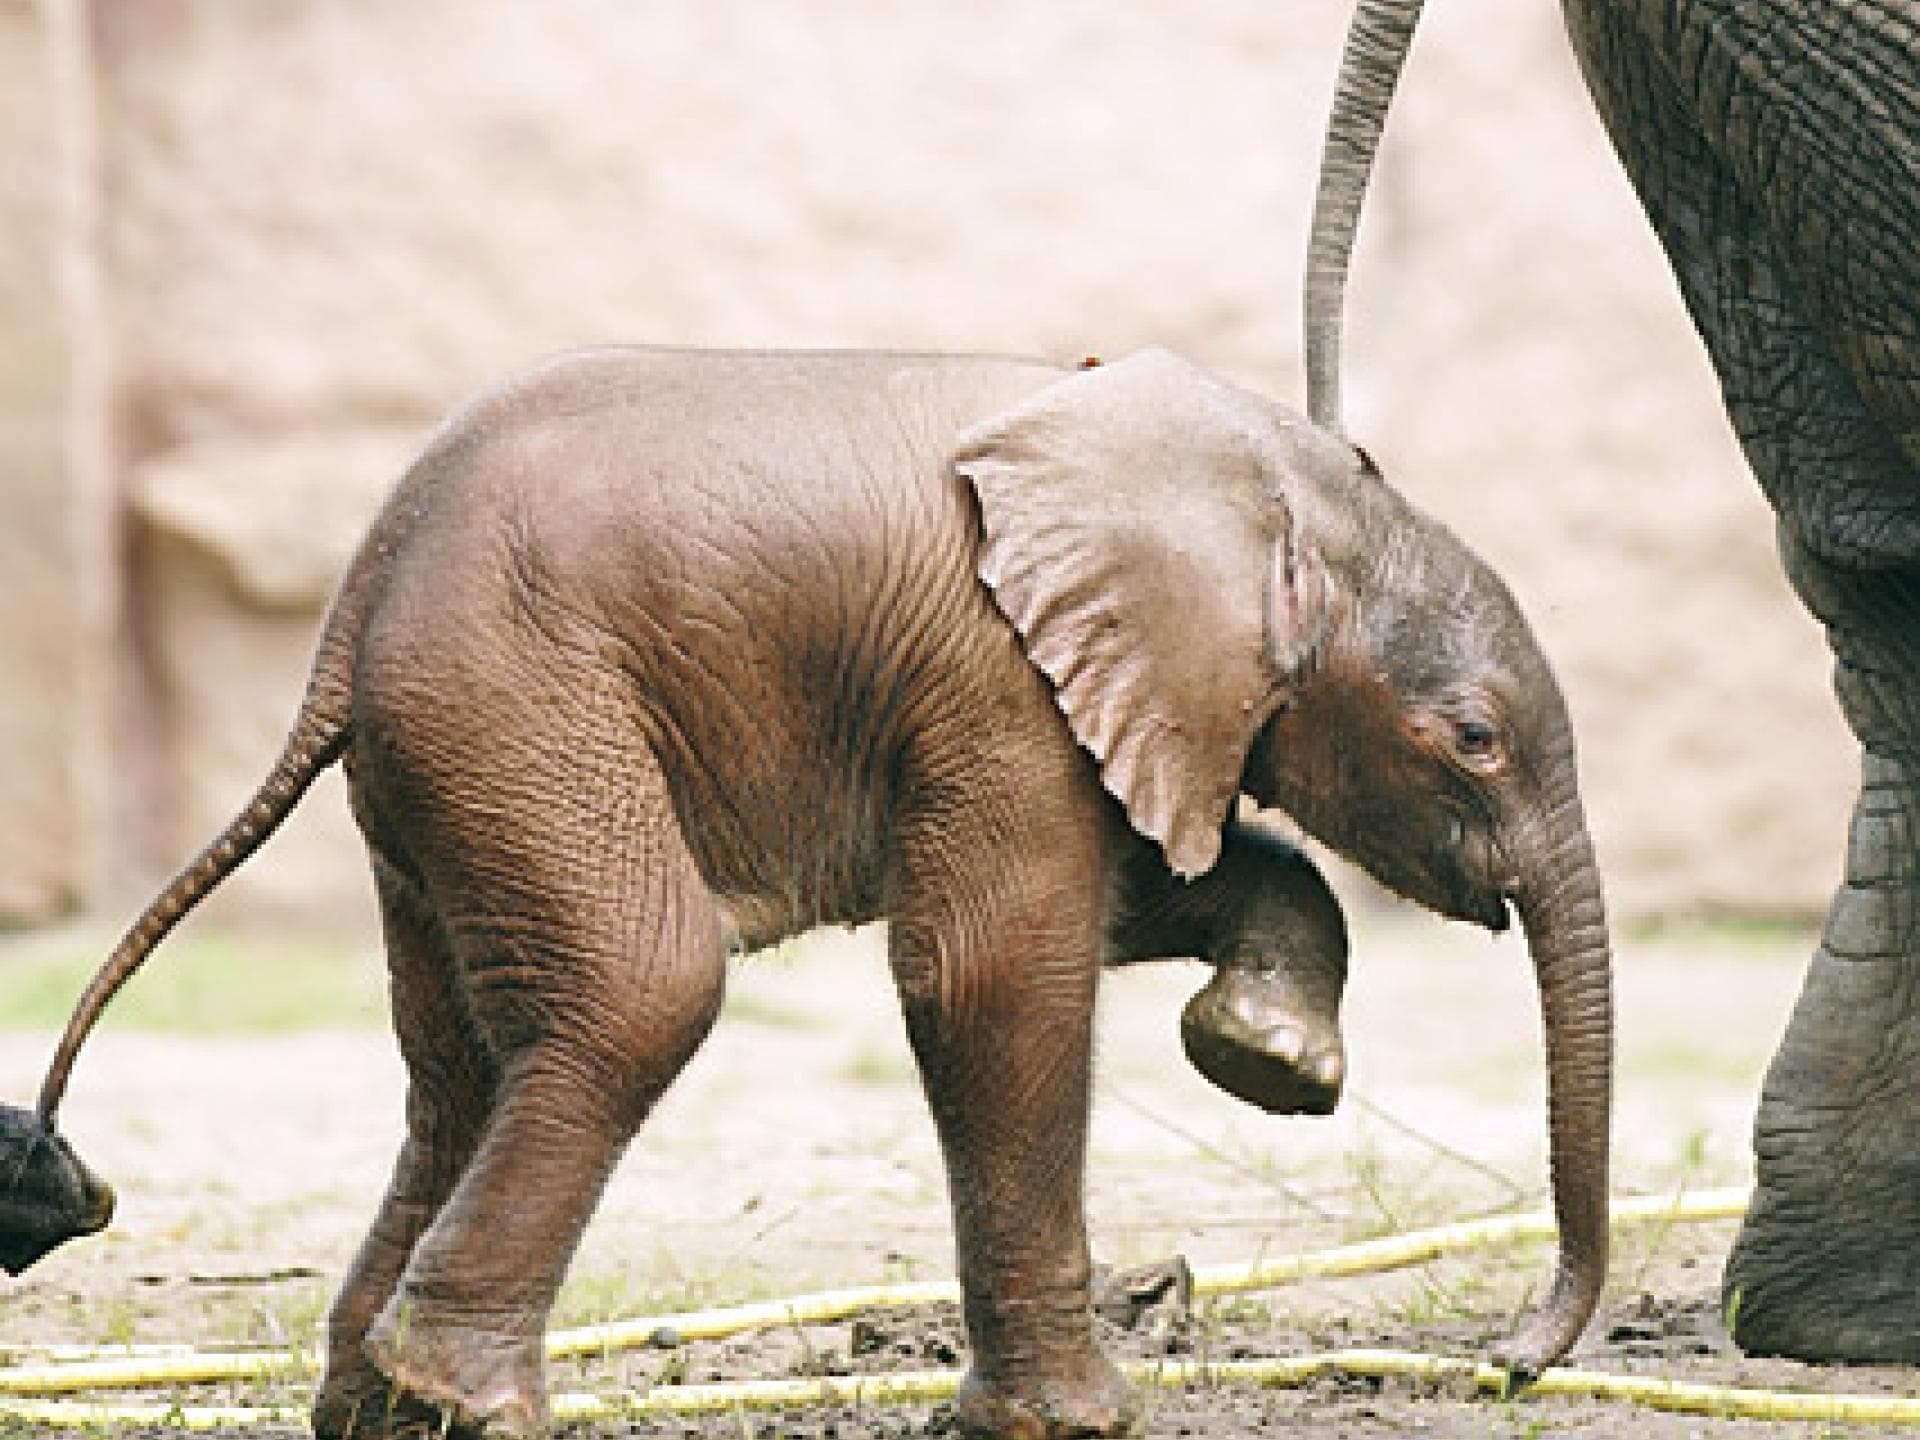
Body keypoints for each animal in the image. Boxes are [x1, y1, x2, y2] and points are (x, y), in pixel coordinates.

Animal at [11, 345, 1614, 1437]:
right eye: (1473, 737)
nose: (1508, 1365)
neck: (1256, 476)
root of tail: (352, 606)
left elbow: (1140, 892)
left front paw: (1266, 1061)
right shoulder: (994, 681)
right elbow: (991, 970)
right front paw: (1078, 1425)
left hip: (446, 766)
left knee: (457, 1061)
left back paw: (377, 1410)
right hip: (519, 712)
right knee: (639, 987)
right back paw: (467, 1404)